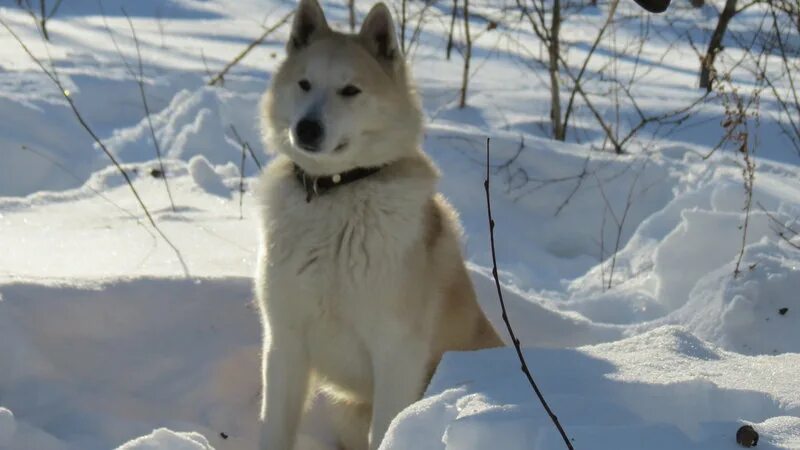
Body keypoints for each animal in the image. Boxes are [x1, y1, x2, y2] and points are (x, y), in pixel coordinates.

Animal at [253, 1, 504, 448]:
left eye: (350, 90)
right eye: (304, 84)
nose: (307, 128)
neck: (336, 193)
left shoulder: (396, 354)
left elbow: (387, 427)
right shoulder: (285, 342)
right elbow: (275, 428)